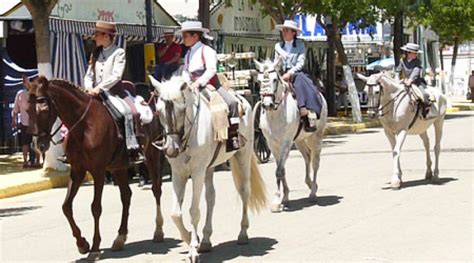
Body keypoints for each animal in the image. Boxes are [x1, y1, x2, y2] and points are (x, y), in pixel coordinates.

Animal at [24, 77, 165, 262]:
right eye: (27, 110)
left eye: (44, 109)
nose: (38, 146)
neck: (83, 126)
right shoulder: (77, 171)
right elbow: (66, 206)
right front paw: (82, 244)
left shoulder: (98, 171)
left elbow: (96, 208)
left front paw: (95, 248)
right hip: (119, 167)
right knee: (126, 196)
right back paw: (120, 238)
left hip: (152, 155)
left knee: (156, 189)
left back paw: (158, 231)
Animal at [149, 75, 266, 262]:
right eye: (159, 112)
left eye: (181, 109)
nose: (171, 150)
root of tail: (241, 99)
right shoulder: (179, 174)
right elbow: (175, 213)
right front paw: (190, 238)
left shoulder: (197, 172)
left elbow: (193, 211)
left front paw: (193, 249)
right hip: (209, 168)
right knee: (211, 197)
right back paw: (205, 240)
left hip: (243, 156)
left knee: (244, 191)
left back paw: (242, 234)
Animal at [254, 59, 328, 212]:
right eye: (258, 81)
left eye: (275, 79)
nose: (267, 104)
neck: (276, 115)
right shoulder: (272, 144)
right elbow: (281, 170)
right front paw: (284, 198)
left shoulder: (286, 143)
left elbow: (279, 171)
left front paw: (277, 201)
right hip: (299, 140)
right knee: (307, 157)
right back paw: (309, 183)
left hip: (316, 136)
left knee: (315, 162)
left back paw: (313, 192)